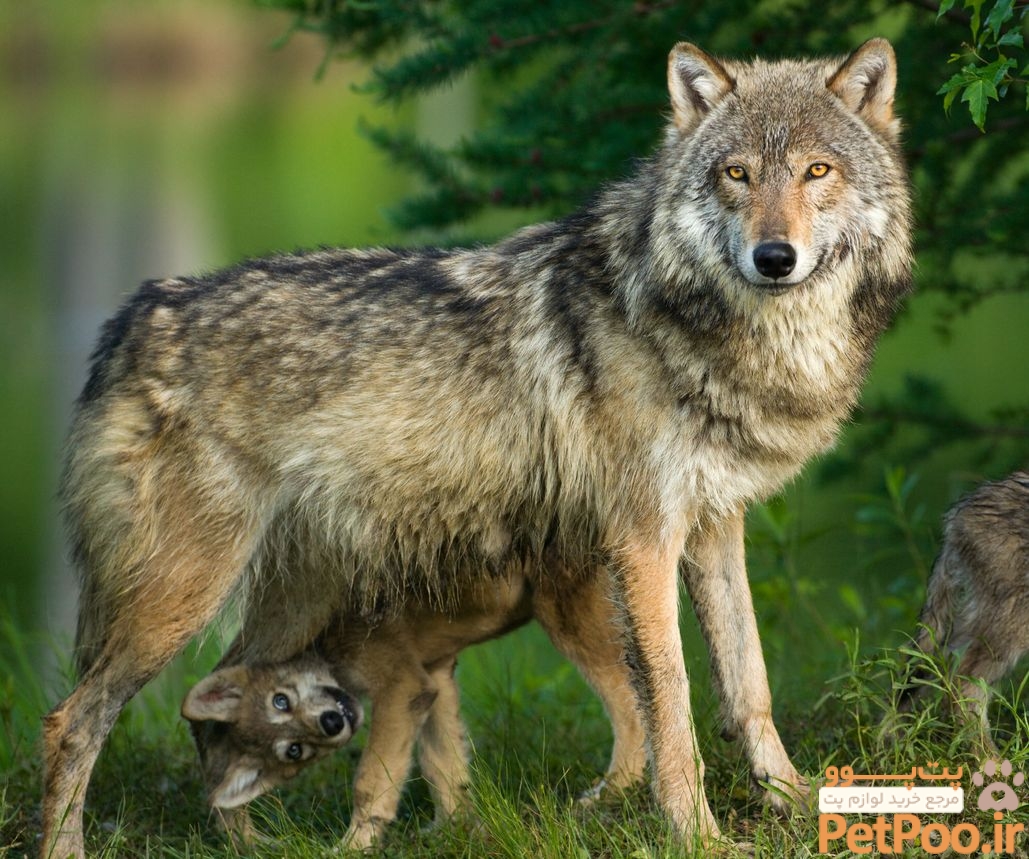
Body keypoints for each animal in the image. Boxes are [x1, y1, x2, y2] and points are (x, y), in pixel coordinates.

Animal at [183, 565, 646, 849]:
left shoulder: (401, 687)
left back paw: (608, 795)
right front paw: (455, 831)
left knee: (634, 714)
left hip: (573, 621)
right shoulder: (432, 682)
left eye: (281, 700)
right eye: (295, 751)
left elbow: (371, 780)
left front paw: (353, 846)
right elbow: (444, 767)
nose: (333, 723)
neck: (325, 638)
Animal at [901, 472, 1029, 745]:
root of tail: (959, 514)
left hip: (977, 619)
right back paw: (991, 755)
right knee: (963, 684)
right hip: (1011, 624)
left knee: (946, 664)